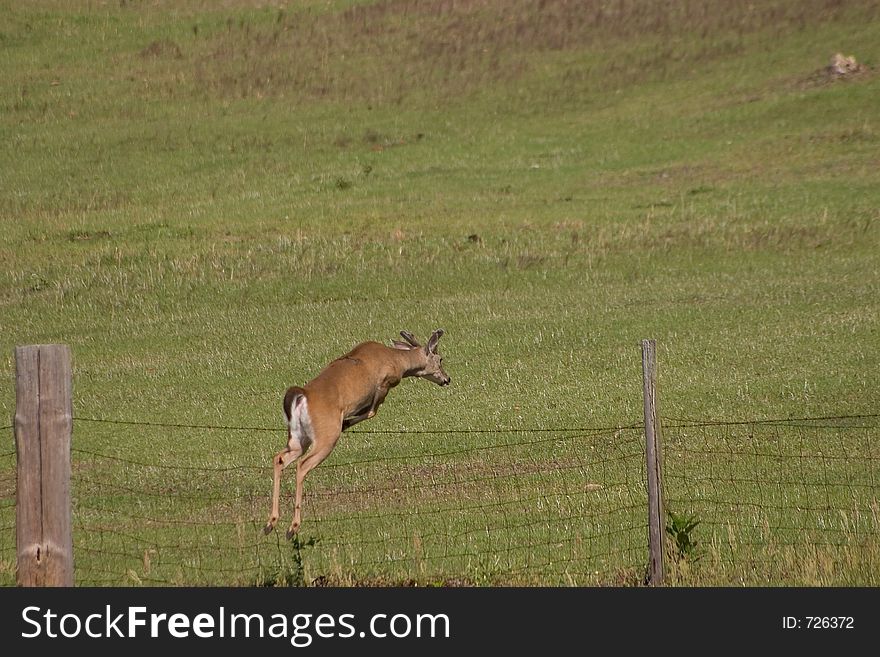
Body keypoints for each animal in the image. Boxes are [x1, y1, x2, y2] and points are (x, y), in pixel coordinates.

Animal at [264, 328, 450, 540]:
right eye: (440, 359)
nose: (447, 379)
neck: (398, 360)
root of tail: (302, 396)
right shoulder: (384, 384)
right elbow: (372, 411)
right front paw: (346, 421)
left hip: (297, 438)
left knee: (279, 458)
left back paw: (270, 523)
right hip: (326, 436)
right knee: (302, 465)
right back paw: (292, 528)